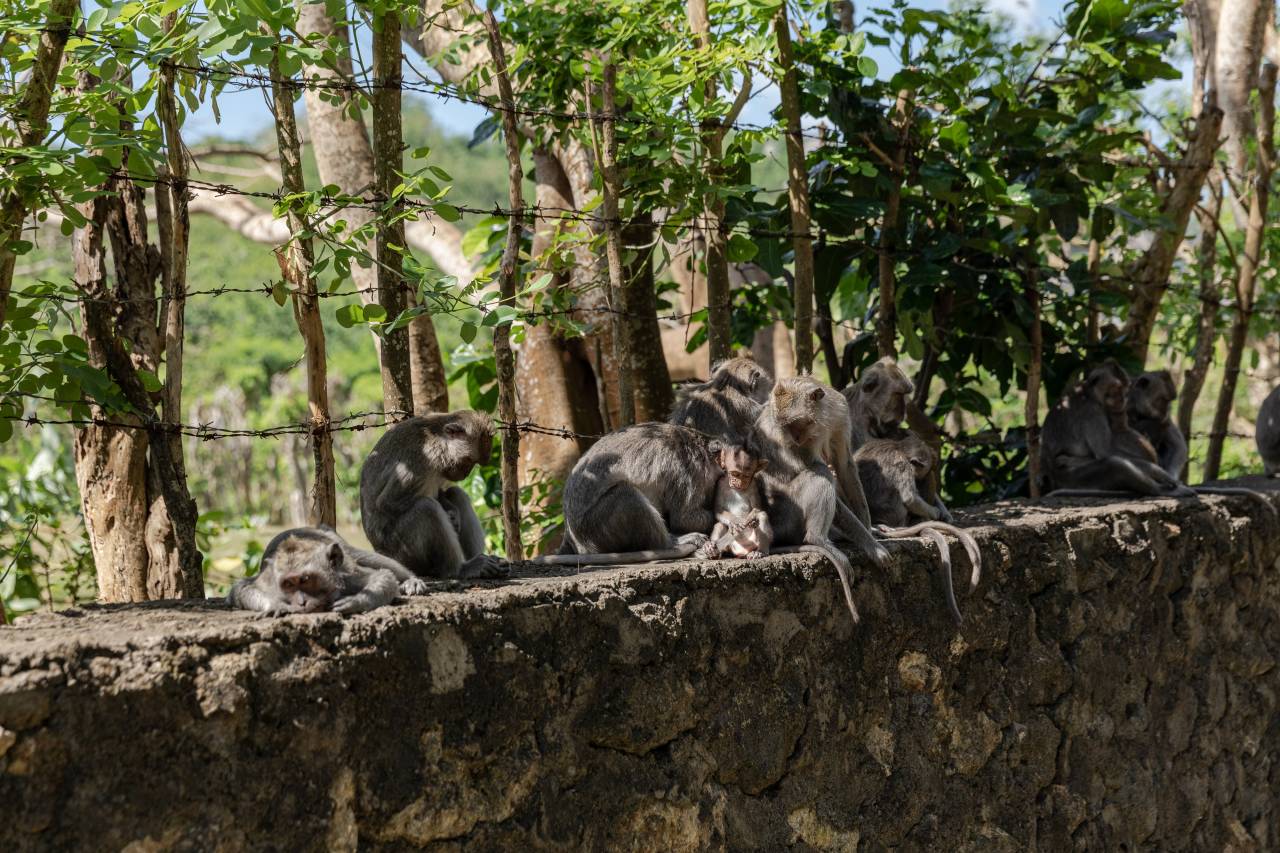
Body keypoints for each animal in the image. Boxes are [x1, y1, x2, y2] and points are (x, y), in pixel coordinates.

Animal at [227, 526, 413, 616]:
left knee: (358, 555)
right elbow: (241, 589)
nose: (302, 602)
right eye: (288, 584)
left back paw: (411, 580)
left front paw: (356, 601)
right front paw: (276, 605)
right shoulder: (268, 581)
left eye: (305, 579)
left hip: (336, 541)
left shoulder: (347, 578)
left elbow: (383, 575)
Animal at [360, 411, 508, 580]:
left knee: (457, 494)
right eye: (469, 460)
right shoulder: (420, 460)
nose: (466, 474)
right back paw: (459, 569)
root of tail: (380, 552)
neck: (437, 437)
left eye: (474, 463)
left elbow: (440, 493)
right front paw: (449, 514)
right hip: (404, 553)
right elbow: (387, 502)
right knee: (427, 507)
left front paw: (452, 512)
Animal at [533, 422, 721, 566]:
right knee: (626, 494)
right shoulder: (692, 470)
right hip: (594, 529)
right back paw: (671, 544)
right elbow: (685, 518)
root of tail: (570, 536)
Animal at [755, 377, 892, 624]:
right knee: (821, 472)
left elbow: (845, 465)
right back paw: (817, 538)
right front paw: (873, 547)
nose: (795, 438)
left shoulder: (840, 413)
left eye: (797, 423)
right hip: (788, 513)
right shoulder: (800, 442)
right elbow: (817, 468)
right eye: (784, 427)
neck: (822, 418)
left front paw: (869, 530)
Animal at [854, 435, 982, 624]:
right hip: (897, 516)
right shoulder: (901, 464)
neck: (898, 447)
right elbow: (910, 498)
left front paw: (944, 513)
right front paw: (936, 513)